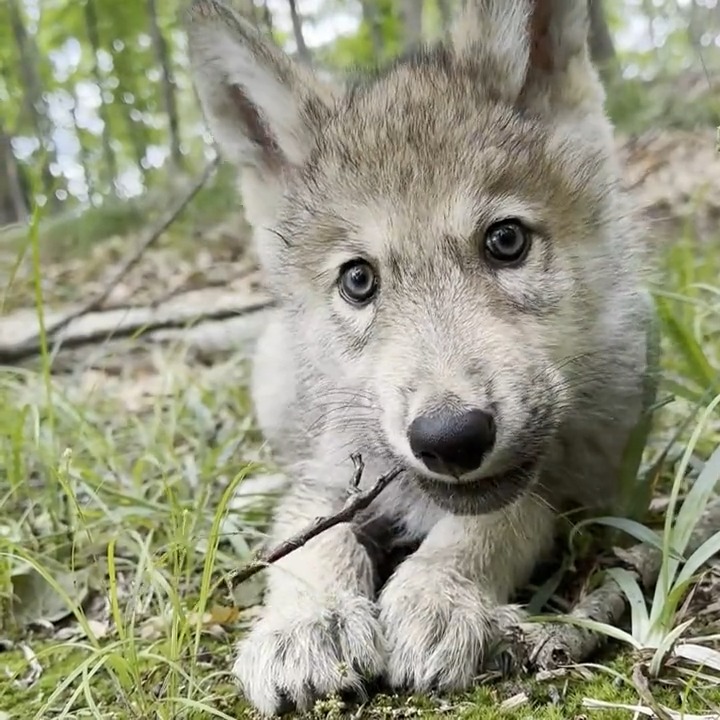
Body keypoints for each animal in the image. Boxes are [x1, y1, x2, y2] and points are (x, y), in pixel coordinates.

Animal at [185, 0, 655, 715]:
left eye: (506, 241)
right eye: (358, 280)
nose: (450, 438)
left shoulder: (572, 493)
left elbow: (500, 520)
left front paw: (437, 594)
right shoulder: (333, 481)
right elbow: (313, 543)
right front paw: (308, 623)